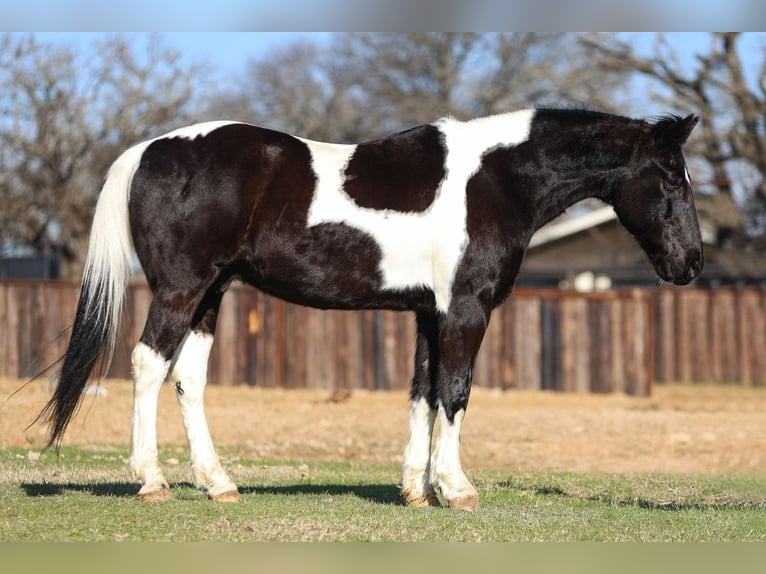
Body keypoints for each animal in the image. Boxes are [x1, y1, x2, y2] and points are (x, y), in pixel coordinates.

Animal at [39, 109, 704, 512]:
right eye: (672, 178)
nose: (691, 263)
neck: (495, 178)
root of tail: (147, 150)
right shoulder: (465, 310)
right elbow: (455, 391)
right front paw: (456, 488)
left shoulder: (428, 314)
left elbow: (422, 392)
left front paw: (416, 489)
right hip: (182, 289)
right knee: (148, 365)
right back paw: (152, 481)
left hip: (212, 294)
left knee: (189, 379)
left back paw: (219, 483)